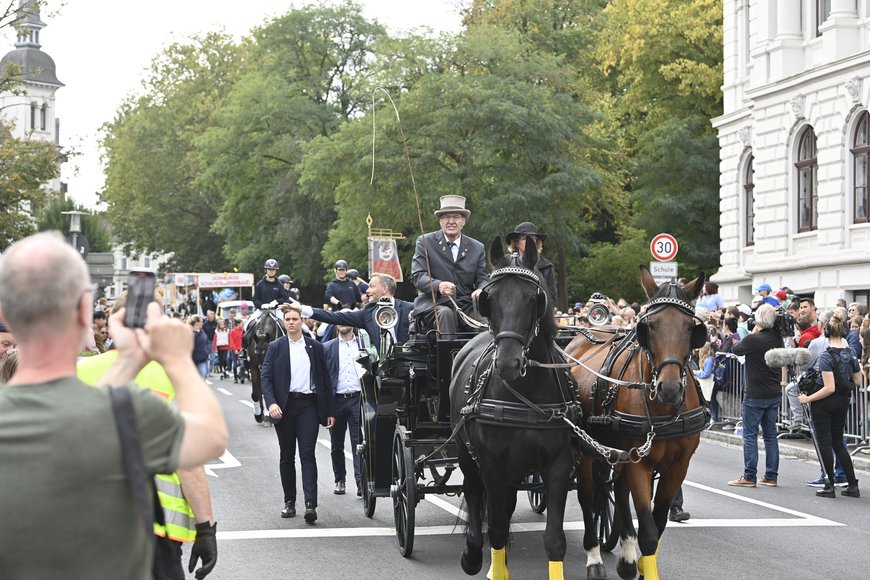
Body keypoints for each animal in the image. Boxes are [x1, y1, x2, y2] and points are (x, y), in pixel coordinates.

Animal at [450, 239, 580, 580]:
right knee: (473, 491)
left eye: (533, 298)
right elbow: (495, 527)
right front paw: (490, 564)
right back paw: (472, 554)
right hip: (466, 452)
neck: (526, 395)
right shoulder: (491, 463)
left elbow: (554, 539)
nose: (508, 363)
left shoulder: (558, 464)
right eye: (490, 298)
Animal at [572, 268, 708, 580]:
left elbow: (658, 526)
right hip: (586, 449)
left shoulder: (677, 466)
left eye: (690, 327)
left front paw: (641, 563)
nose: (669, 388)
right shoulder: (640, 464)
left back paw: (625, 556)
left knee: (618, 492)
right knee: (588, 495)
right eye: (651, 326)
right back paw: (594, 558)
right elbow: (648, 532)